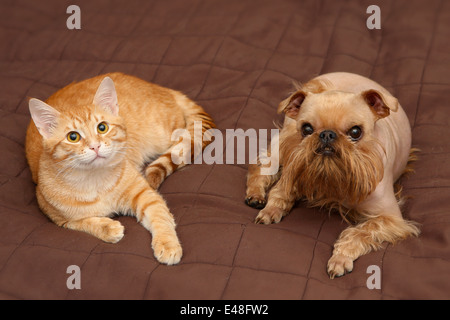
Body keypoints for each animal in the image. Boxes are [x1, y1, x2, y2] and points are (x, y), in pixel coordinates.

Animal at [25, 72, 215, 264]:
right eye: (73, 137)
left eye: (102, 127)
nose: (95, 146)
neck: (95, 182)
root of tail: (159, 87)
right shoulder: (56, 217)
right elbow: (83, 222)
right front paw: (108, 228)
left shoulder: (146, 196)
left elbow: (161, 217)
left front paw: (167, 244)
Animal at [246, 72, 418, 278]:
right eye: (307, 129)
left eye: (355, 132)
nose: (327, 134)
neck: (334, 179)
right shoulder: (292, 170)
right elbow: (280, 193)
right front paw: (272, 209)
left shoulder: (391, 219)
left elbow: (361, 231)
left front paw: (340, 258)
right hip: (285, 143)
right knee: (262, 165)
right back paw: (255, 194)